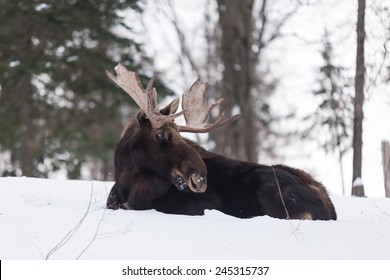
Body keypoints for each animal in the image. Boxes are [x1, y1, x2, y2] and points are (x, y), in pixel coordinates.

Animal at [105, 64, 336, 221]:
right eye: (161, 134)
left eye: (179, 134)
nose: (200, 178)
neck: (127, 180)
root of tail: (331, 210)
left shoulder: (206, 203)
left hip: (266, 182)